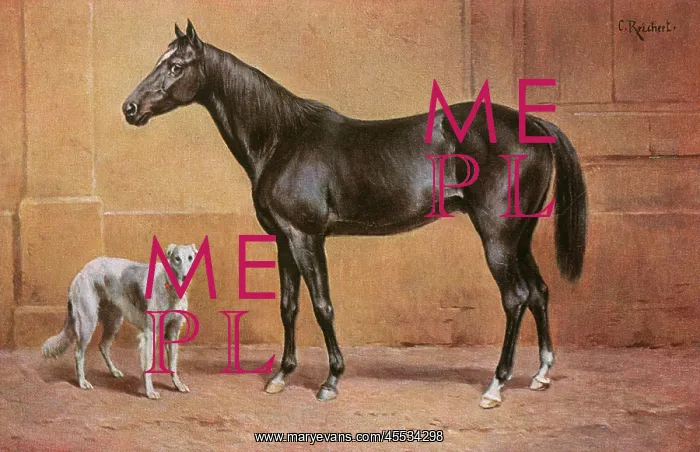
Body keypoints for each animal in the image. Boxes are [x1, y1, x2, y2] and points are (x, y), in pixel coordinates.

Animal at [122, 20, 587, 409]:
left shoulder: (306, 237)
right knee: (540, 292)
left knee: (516, 298)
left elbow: (322, 305)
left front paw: (330, 381)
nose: (130, 108)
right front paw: (281, 376)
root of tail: (536, 125)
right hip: (519, 236)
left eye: (176, 65)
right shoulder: (283, 240)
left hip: (497, 237)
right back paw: (541, 374)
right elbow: (289, 306)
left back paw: (495, 385)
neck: (283, 139)